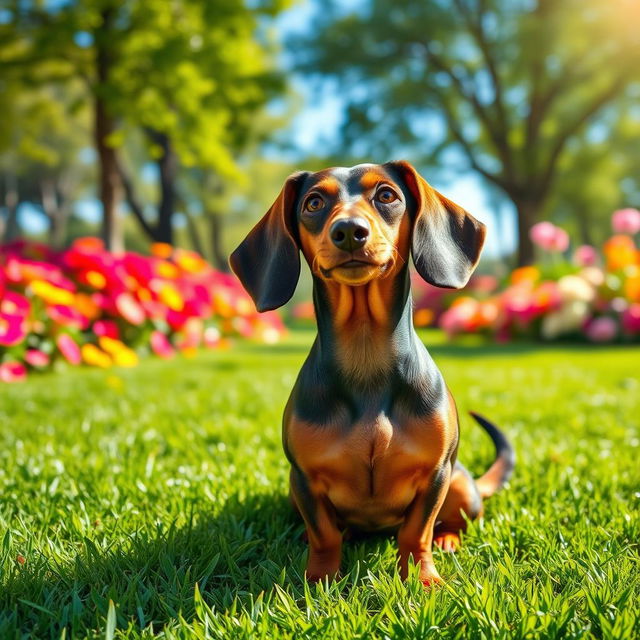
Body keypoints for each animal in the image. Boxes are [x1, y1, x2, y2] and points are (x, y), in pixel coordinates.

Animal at [230, 160, 516, 584]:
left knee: (452, 521)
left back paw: (447, 539)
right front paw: (319, 579)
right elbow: (325, 534)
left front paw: (423, 578)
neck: (366, 358)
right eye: (314, 202)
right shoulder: (304, 478)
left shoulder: (435, 474)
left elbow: (416, 531)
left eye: (386, 195)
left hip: (462, 484)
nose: (349, 231)